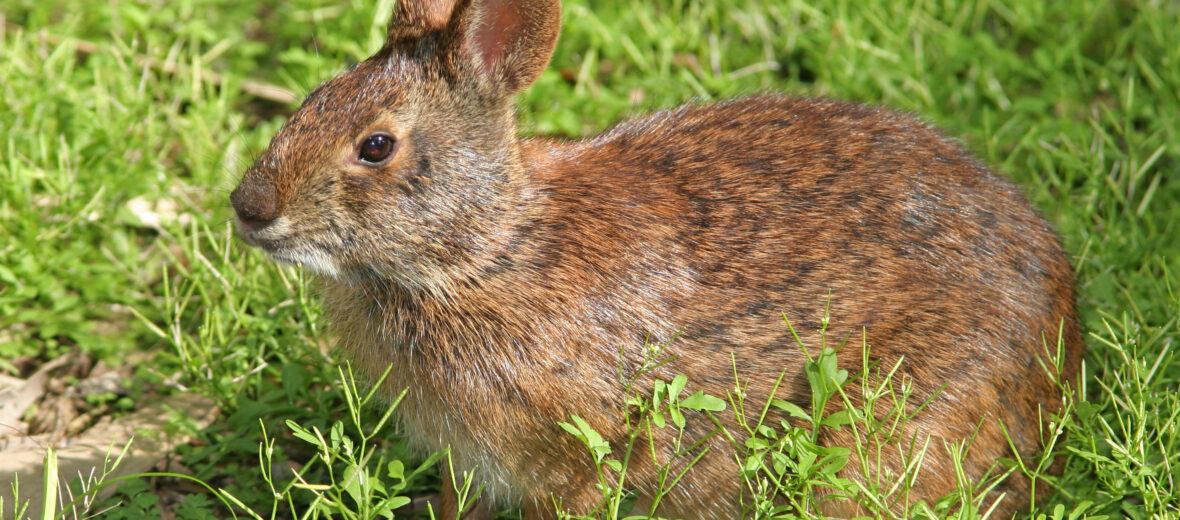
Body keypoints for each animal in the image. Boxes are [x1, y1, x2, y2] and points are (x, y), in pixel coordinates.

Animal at [227, 0, 1080, 514]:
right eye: (311, 101)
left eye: (375, 146)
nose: (249, 207)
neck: (487, 254)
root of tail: (1060, 361)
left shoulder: (578, 451)